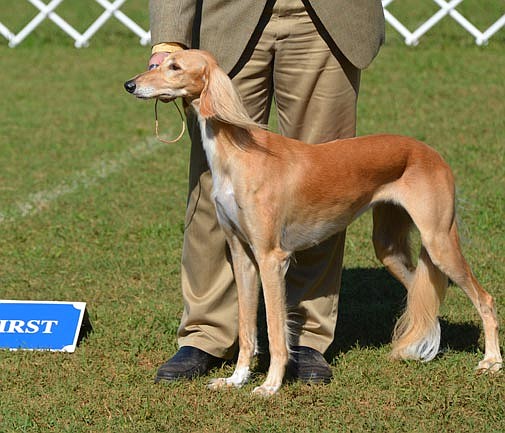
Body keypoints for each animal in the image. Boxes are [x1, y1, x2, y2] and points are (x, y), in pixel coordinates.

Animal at [124, 49, 502, 394]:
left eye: (175, 67)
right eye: (157, 63)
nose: (130, 85)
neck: (239, 154)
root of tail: (431, 152)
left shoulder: (271, 258)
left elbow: (276, 330)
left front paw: (270, 386)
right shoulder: (243, 255)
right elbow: (246, 329)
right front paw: (236, 379)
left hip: (440, 239)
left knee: (484, 298)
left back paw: (491, 362)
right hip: (389, 247)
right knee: (425, 294)